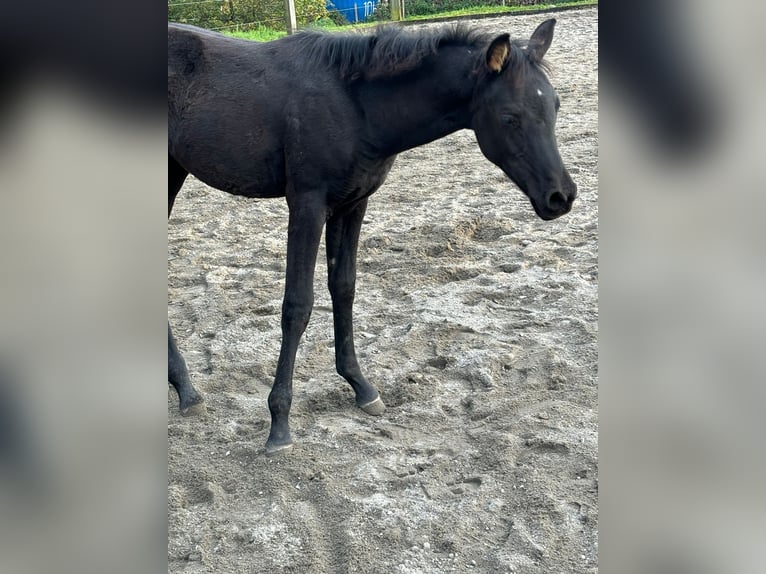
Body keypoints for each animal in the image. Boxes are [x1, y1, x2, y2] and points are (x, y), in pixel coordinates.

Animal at [168, 18, 576, 454]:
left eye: (555, 106)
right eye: (509, 117)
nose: (561, 196)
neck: (354, 104)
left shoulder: (352, 204)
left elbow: (343, 287)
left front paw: (361, 387)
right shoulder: (308, 203)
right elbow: (297, 306)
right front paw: (279, 423)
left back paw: (186, 390)